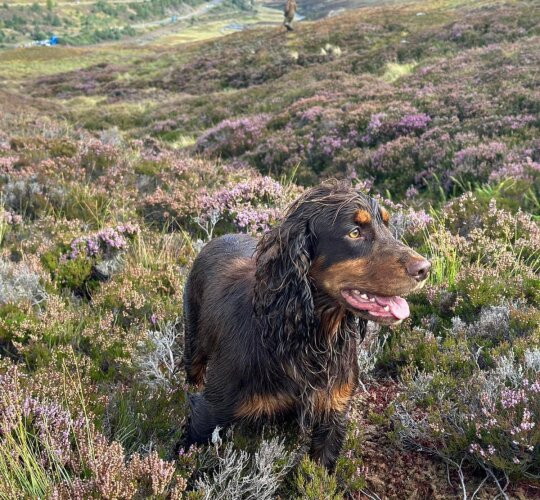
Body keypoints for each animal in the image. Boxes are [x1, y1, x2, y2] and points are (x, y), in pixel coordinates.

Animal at [181, 182, 430, 470]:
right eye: (355, 232)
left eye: (388, 227)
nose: (425, 268)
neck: (307, 337)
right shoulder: (209, 413)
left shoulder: (333, 412)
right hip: (193, 341)